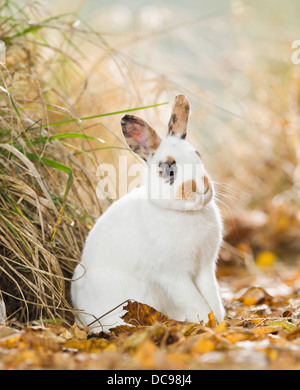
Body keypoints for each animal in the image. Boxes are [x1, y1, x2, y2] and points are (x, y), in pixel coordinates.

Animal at [71, 94, 224, 332]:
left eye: (198, 156)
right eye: (169, 169)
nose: (201, 188)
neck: (185, 213)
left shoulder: (204, 268)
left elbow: (212, 296)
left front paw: (219, 321)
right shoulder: (173, 275)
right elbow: (195, 301)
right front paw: (206, 323)